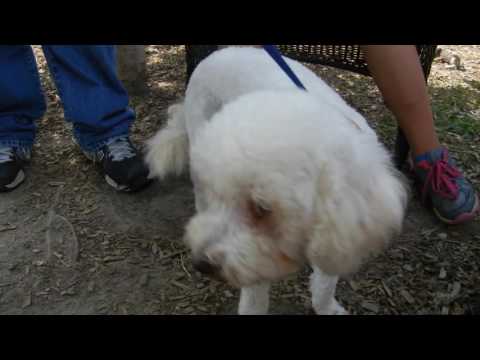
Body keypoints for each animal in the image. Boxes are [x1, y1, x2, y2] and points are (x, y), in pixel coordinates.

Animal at [147, 46, 408, 314]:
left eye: (262, 208)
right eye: (219, 195)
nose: (201, 263)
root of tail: (218, 54)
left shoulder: (334, 237)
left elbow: (325, 283)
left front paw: (328, 308)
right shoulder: (253, 256)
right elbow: (254, 302)